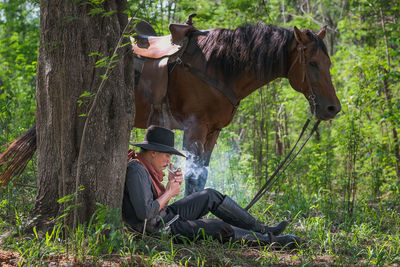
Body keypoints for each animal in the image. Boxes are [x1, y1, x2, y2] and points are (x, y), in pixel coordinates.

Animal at [0, 21, 340, 195]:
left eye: (328, 63)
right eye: (312, 63)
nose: (332, 109)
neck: (218, 67)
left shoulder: (213, 132)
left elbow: (201, 175)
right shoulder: (194, 128)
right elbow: (192, 175)